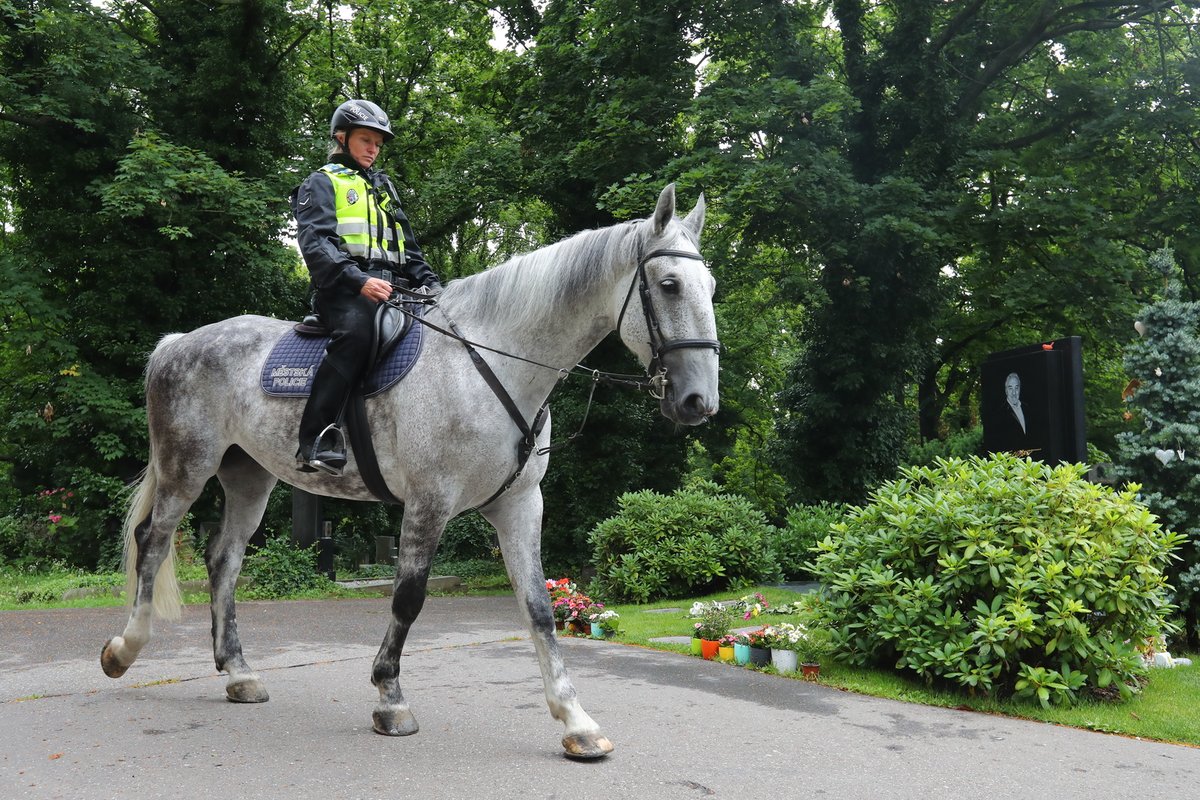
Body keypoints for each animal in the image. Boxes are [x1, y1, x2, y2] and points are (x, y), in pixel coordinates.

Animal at [98, 184, 715, 762]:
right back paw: (124, 648)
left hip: (249, 478)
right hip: (187, 468)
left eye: (709, 289)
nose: (698, 402)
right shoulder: (428, 502)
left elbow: (540, 608)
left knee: (223, 559)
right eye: (668, 286)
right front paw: (390, 697)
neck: (493, 361)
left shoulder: (520, 505)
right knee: (153, 541)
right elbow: (408, 598)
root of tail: (178, 342)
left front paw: (576, 721)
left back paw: (239, 672)